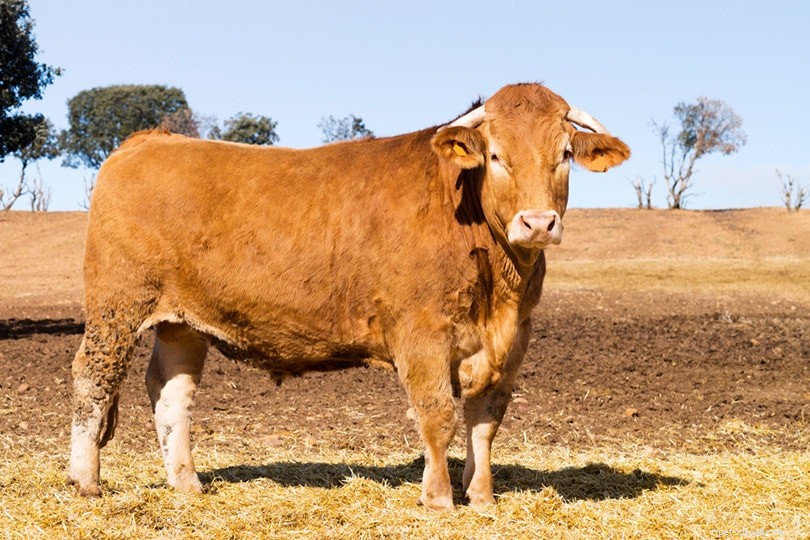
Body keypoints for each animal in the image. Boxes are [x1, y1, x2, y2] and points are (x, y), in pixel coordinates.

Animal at [68, 83, 630, 510]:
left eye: (564, 155)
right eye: (495, 156)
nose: (538, 222)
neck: (499, 286)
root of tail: (149, 140)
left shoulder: (513, 343)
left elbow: (484, 423)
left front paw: (483, 497)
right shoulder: (420, 334)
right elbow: (438, 417)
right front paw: (439, 498)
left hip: (181, 323)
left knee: (172, 394)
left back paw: (187, 484)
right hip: (116, 308)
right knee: (92, 379)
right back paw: (85, 482)